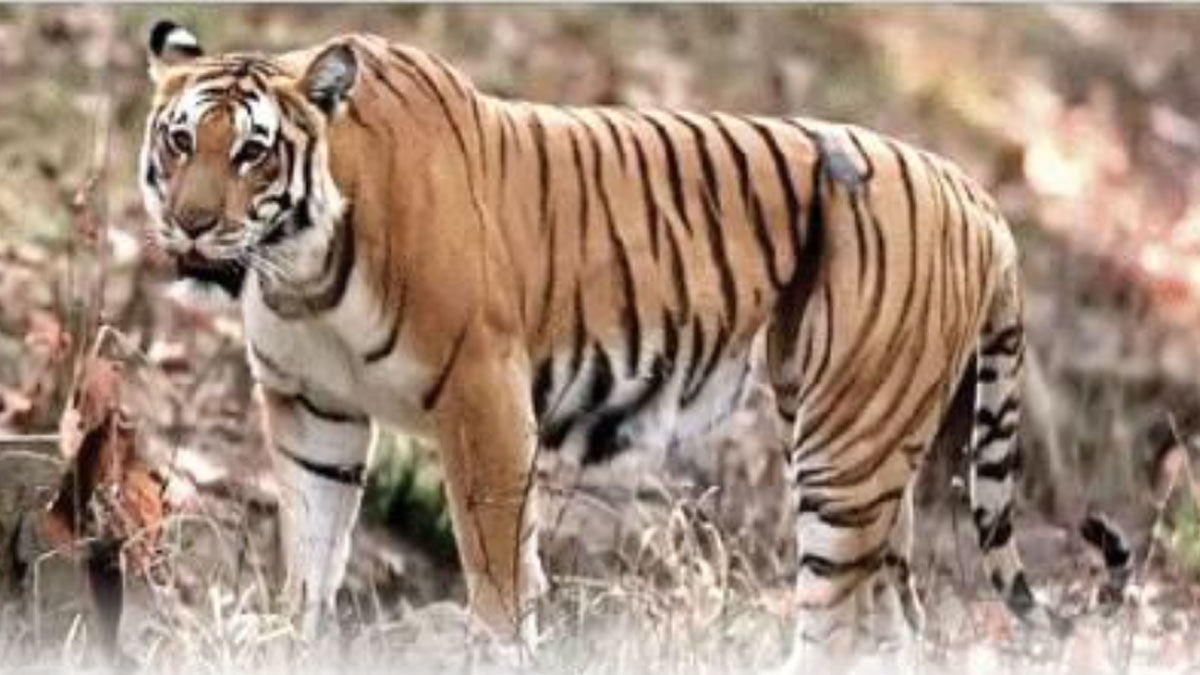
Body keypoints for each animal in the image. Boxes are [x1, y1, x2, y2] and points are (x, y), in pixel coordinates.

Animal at [138, 20, 1127, 670]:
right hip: (879, 466)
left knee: (837, 618)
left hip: (847, 454)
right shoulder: (315, 410)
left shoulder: (483, 395)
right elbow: (312, 547)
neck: (299, 268)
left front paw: (499, 646)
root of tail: (982, 201)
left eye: (253, 152)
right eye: (181, 140)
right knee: (898, 621)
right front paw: (287, 640)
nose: (191, 225)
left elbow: (496, 564)